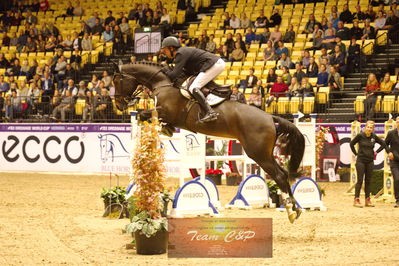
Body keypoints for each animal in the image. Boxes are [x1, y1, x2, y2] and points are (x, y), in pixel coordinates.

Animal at [112, 61, 306, 222]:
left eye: (116, 81)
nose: (119, 105)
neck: (163, 83)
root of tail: (270, 117)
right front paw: (164, 130)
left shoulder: (164, 112)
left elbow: (144, 115)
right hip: (264, 153)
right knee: (283, 173)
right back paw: (295, 208)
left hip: (258, 153)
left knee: (279, 175)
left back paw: (291, 210)